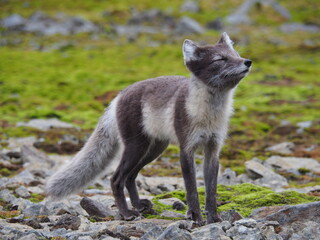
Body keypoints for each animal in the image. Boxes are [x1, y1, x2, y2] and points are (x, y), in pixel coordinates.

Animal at [47, 32, 252, 224]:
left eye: (236, 55)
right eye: (220, 59)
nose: (248, 62)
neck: (210, 114)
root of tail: (119, 96)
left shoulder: (213, 149)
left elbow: (212, 190)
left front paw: (214, 217)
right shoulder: (186, 148)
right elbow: (191, 187)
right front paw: (195, 216)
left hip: (154, 149)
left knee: (130, 177)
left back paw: (139, 205)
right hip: (136, 147)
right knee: (116, 179)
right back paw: (127, 213)